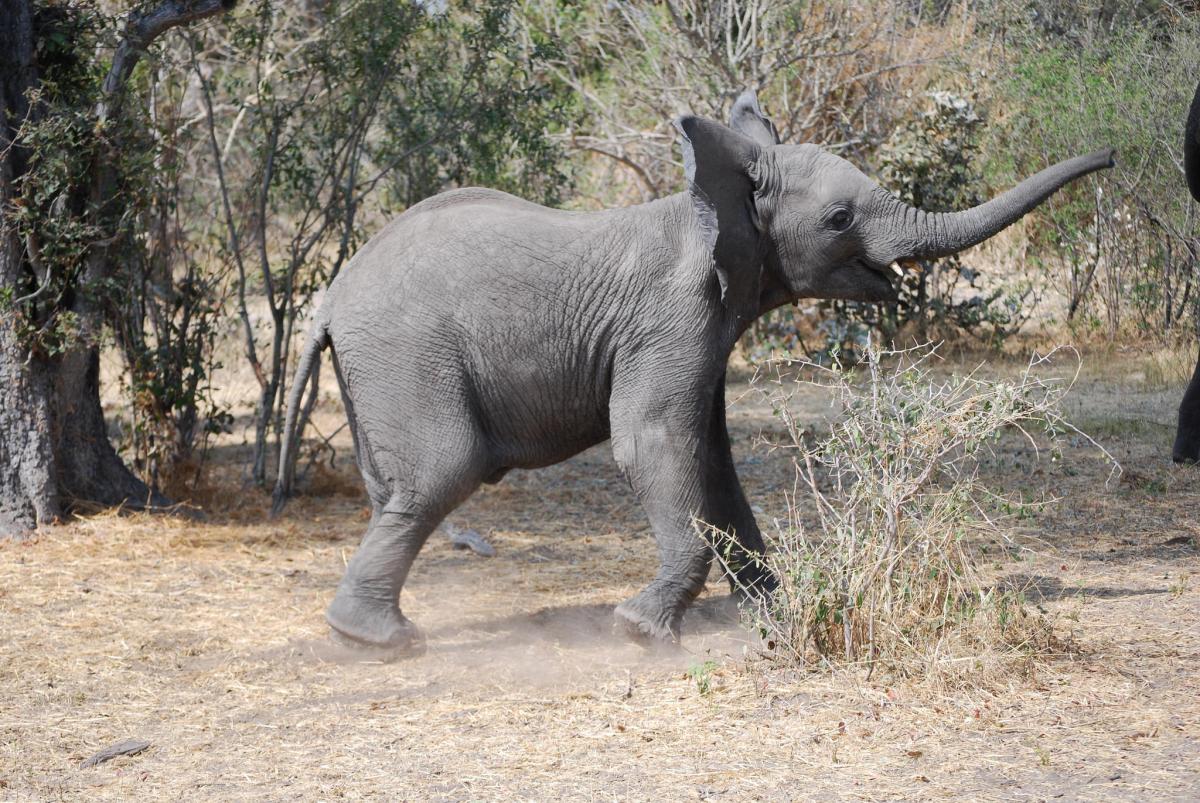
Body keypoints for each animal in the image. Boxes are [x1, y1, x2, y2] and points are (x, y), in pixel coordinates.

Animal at [271, 91, 1113, 653]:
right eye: (840, 219)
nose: (1111, 155)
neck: (714, 199)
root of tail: (331, 296)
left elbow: (711, 456)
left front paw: (772, 616)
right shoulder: (672, 318)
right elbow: (655, 443)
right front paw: (641, 631)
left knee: (398, 489)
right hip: (408, 352)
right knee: (445, 470)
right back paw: (378, 642)